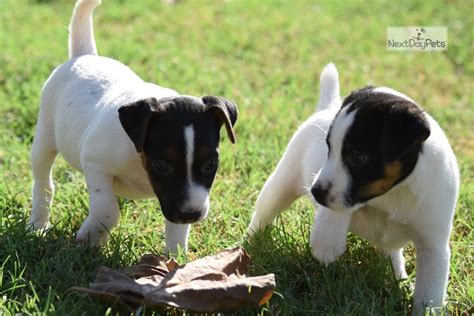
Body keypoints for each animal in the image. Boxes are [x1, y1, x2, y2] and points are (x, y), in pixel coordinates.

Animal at [28, 0, 237, 253]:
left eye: (210, 164)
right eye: (161, 165)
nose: (191, 214)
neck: (139, 161)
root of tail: (84, 55)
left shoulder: (175, 197)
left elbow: (176, 231)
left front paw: (173, 259)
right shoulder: (95, 164)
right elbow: (107, 211)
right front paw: (90, 237)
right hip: (44, 139)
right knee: (44, 184)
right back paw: (38, 225)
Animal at [248, 63, 460, 312]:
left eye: (357, 157)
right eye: (328, 149)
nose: (314, 192)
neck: (393, 193)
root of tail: (327, 107)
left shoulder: (433, 247)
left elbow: (429, 295)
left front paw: (423, 308)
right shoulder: (336, 192)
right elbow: (337, 209)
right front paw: (327, 242)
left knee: (393, 255)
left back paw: (399, 278)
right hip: (280, 186)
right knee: (263, 213)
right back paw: (247, 244)